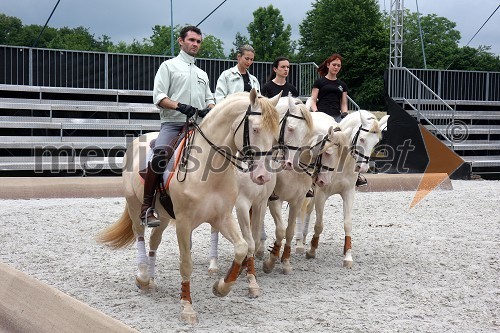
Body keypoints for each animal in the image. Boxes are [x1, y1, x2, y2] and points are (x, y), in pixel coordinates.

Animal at [95, 89, 280, 322]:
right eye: (255, 129)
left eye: (276, 133)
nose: (263, 176)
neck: (209, 170)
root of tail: (138, 140)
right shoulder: (184, 223)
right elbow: (186, 263)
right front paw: (187, 306)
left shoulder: (222, 217)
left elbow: (242, 247)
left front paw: (221, 287)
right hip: (135, 205)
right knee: (140, 237)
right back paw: (143, 276)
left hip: (164, 217)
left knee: (154, 241)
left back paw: (151, 280)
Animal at [296, 111, 390, 268]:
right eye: (362, 139)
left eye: (376, 143)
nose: (363, 168)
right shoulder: (321, 193)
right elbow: (319, 225)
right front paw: (312, 250)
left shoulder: (348, 193)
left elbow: (348, 224)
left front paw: (348, 256)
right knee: (302, 210)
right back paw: (299, 244)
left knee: (308, 210)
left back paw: (302, 239)